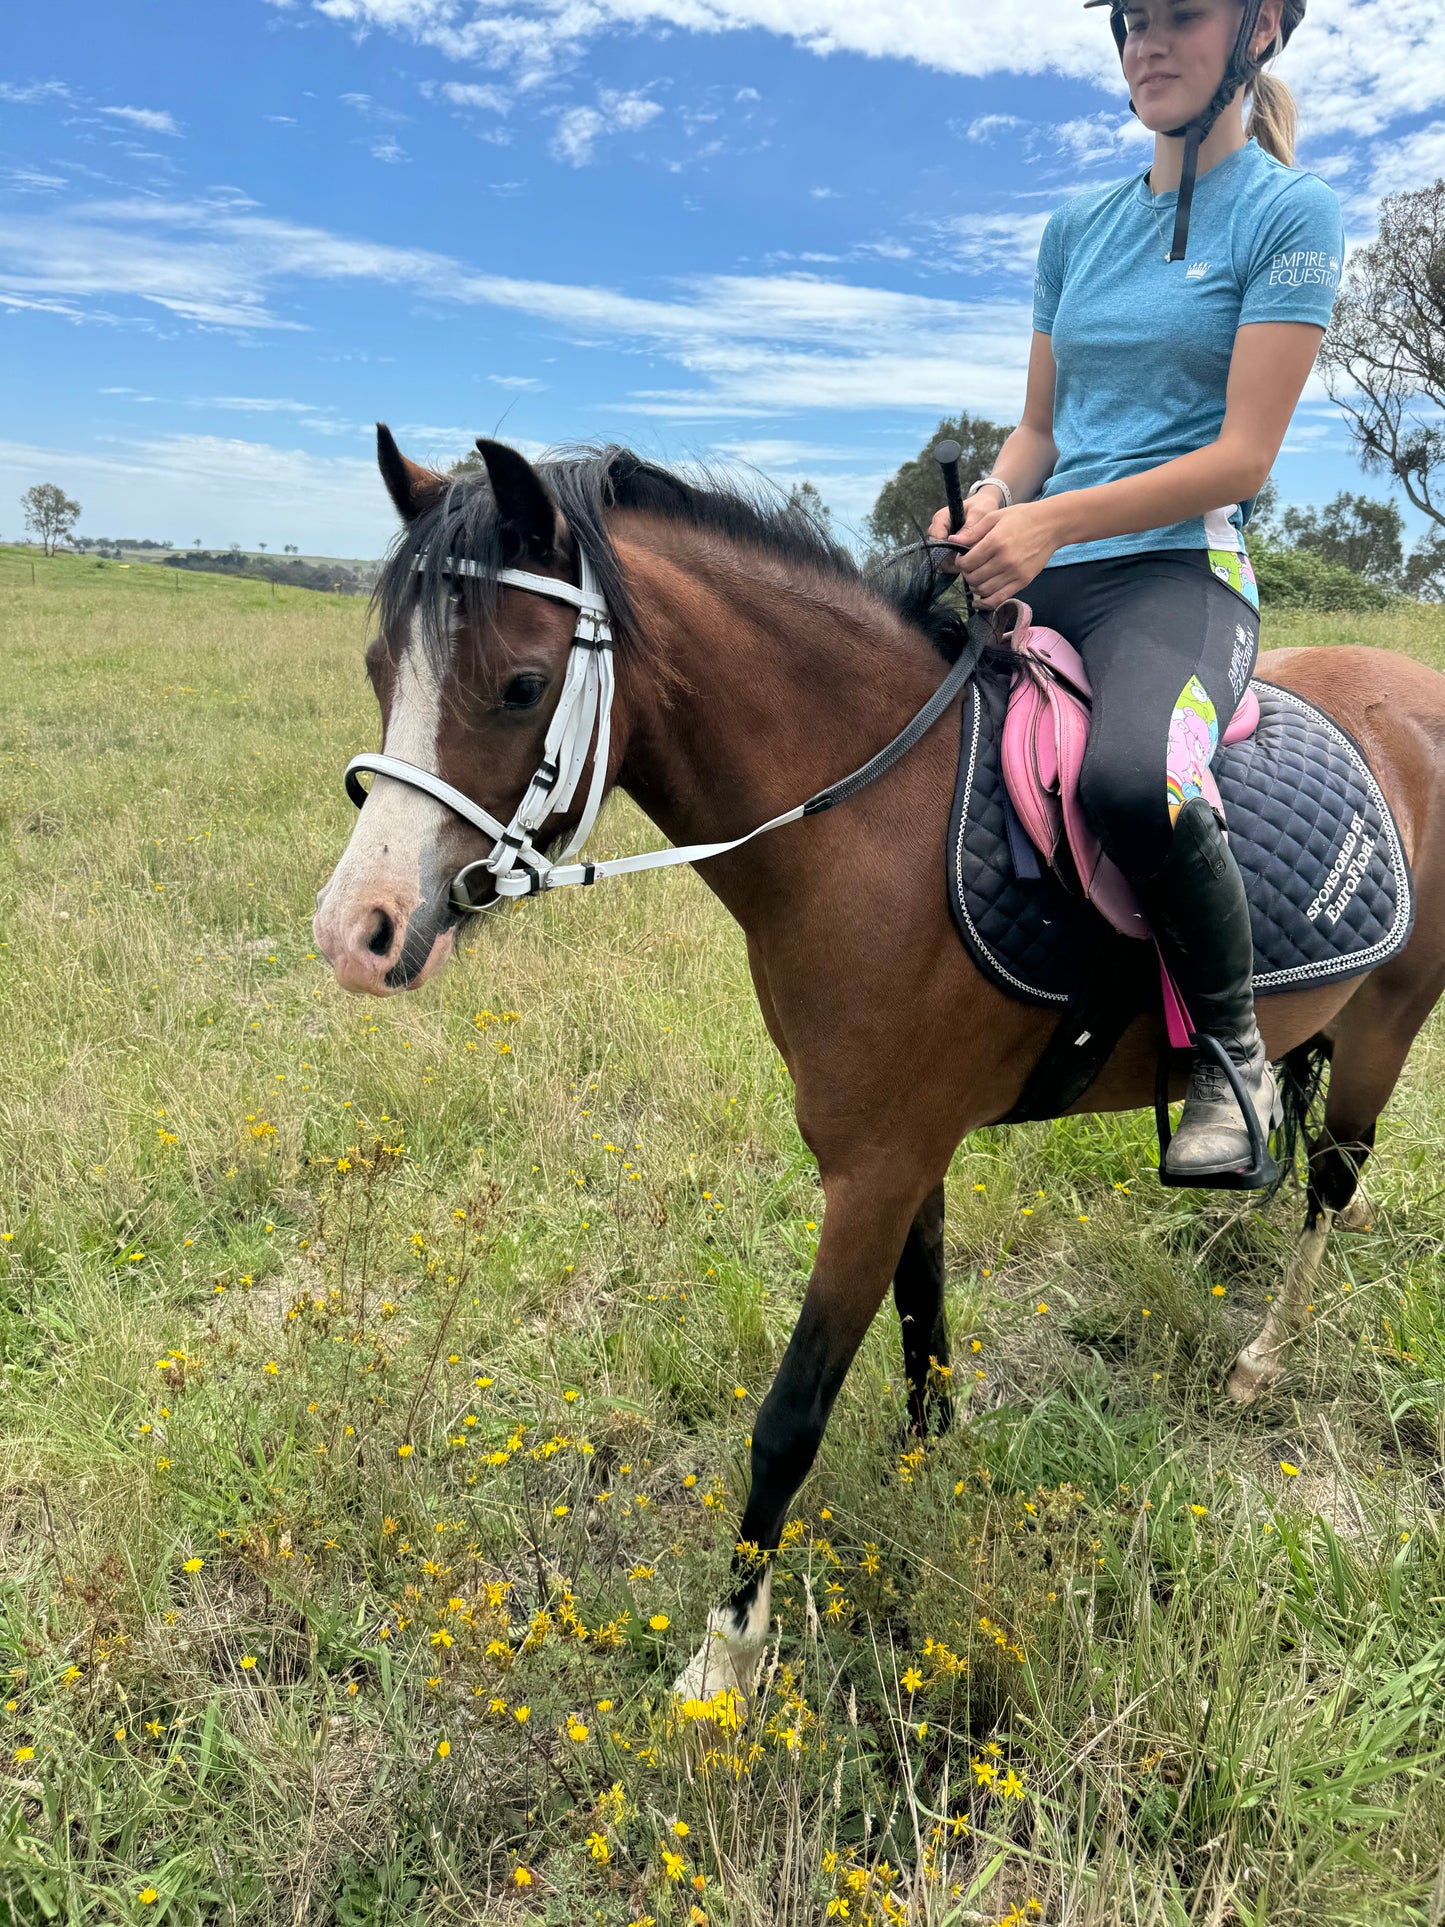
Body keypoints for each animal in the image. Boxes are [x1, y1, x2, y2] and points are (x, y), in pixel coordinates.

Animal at [314, 433, 1445, 1703]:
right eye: (380, 667)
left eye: (516, 685)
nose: (354, 931)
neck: (872, 822)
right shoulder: (910, 1155)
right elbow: (922, 1333)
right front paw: (929, 1484)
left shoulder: (873, 1170)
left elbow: (791, 1413)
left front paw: (724, 1655)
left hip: (1390, 1017)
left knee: (1333, 1179)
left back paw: (1262, 1352)